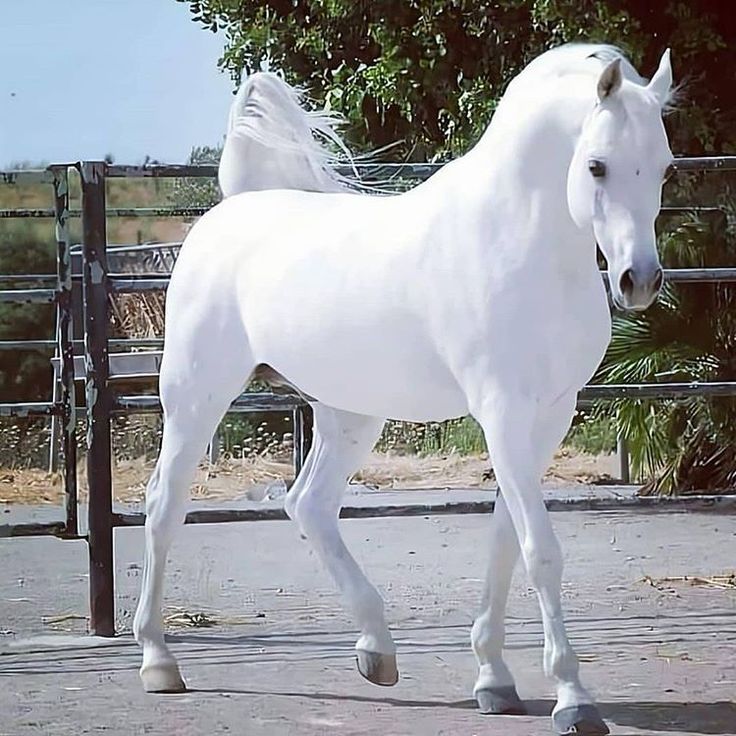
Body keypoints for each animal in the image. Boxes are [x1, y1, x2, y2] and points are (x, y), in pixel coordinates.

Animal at [132, 46, 672, 736]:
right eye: (597, 164)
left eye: (665, 165)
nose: (639, 281)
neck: (518, 243)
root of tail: (233, 207)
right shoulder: (502, 413)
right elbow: (539, 550)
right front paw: (574, 699)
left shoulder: (546, 419)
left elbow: (505, 541)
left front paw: (494, 680)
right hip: (197, 395)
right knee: (164, 504)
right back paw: (158, 661)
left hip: (350, 415)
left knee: (308, 504)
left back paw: (377, 651)